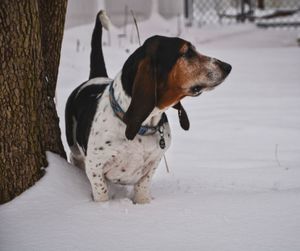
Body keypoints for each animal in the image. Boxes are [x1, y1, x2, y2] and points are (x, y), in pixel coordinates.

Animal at [64, 11, 231, 204]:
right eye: (187, 52)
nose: (228, 66)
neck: (142, 125)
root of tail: (96, 76)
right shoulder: (95, 166)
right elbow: (101, 191)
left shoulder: (153, 163)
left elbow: (143, 187)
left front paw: (143, 203)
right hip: (73, 144)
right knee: (75, 157)